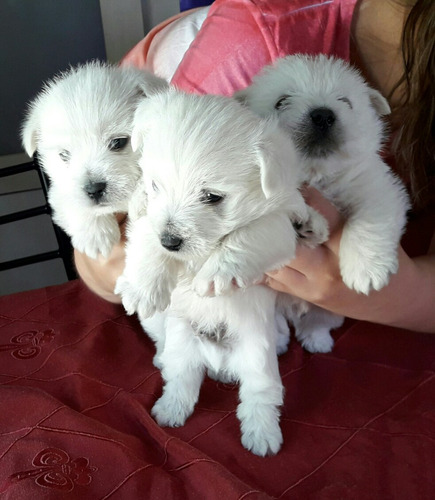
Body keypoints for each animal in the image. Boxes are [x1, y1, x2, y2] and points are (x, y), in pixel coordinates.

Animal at [21, 59, 169, 258]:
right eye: (64, 155)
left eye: (118, 142)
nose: (93, 189)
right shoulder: (60, 190)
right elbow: (70, 201)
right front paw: (96, 235)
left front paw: (140, 199)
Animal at [114, 88, 328, 456]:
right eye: (155, 185)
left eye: (212, 197)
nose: (171, 241)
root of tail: (217, 358)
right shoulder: (146, 215)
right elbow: (147, 240)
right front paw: (142, 288)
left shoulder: (277, 222)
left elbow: (248, 236)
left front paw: (217, 275)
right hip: (182, 349)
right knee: (181, 381)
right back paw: (170, 410)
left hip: (257, 359)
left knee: (260, 395)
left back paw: (261, 435)